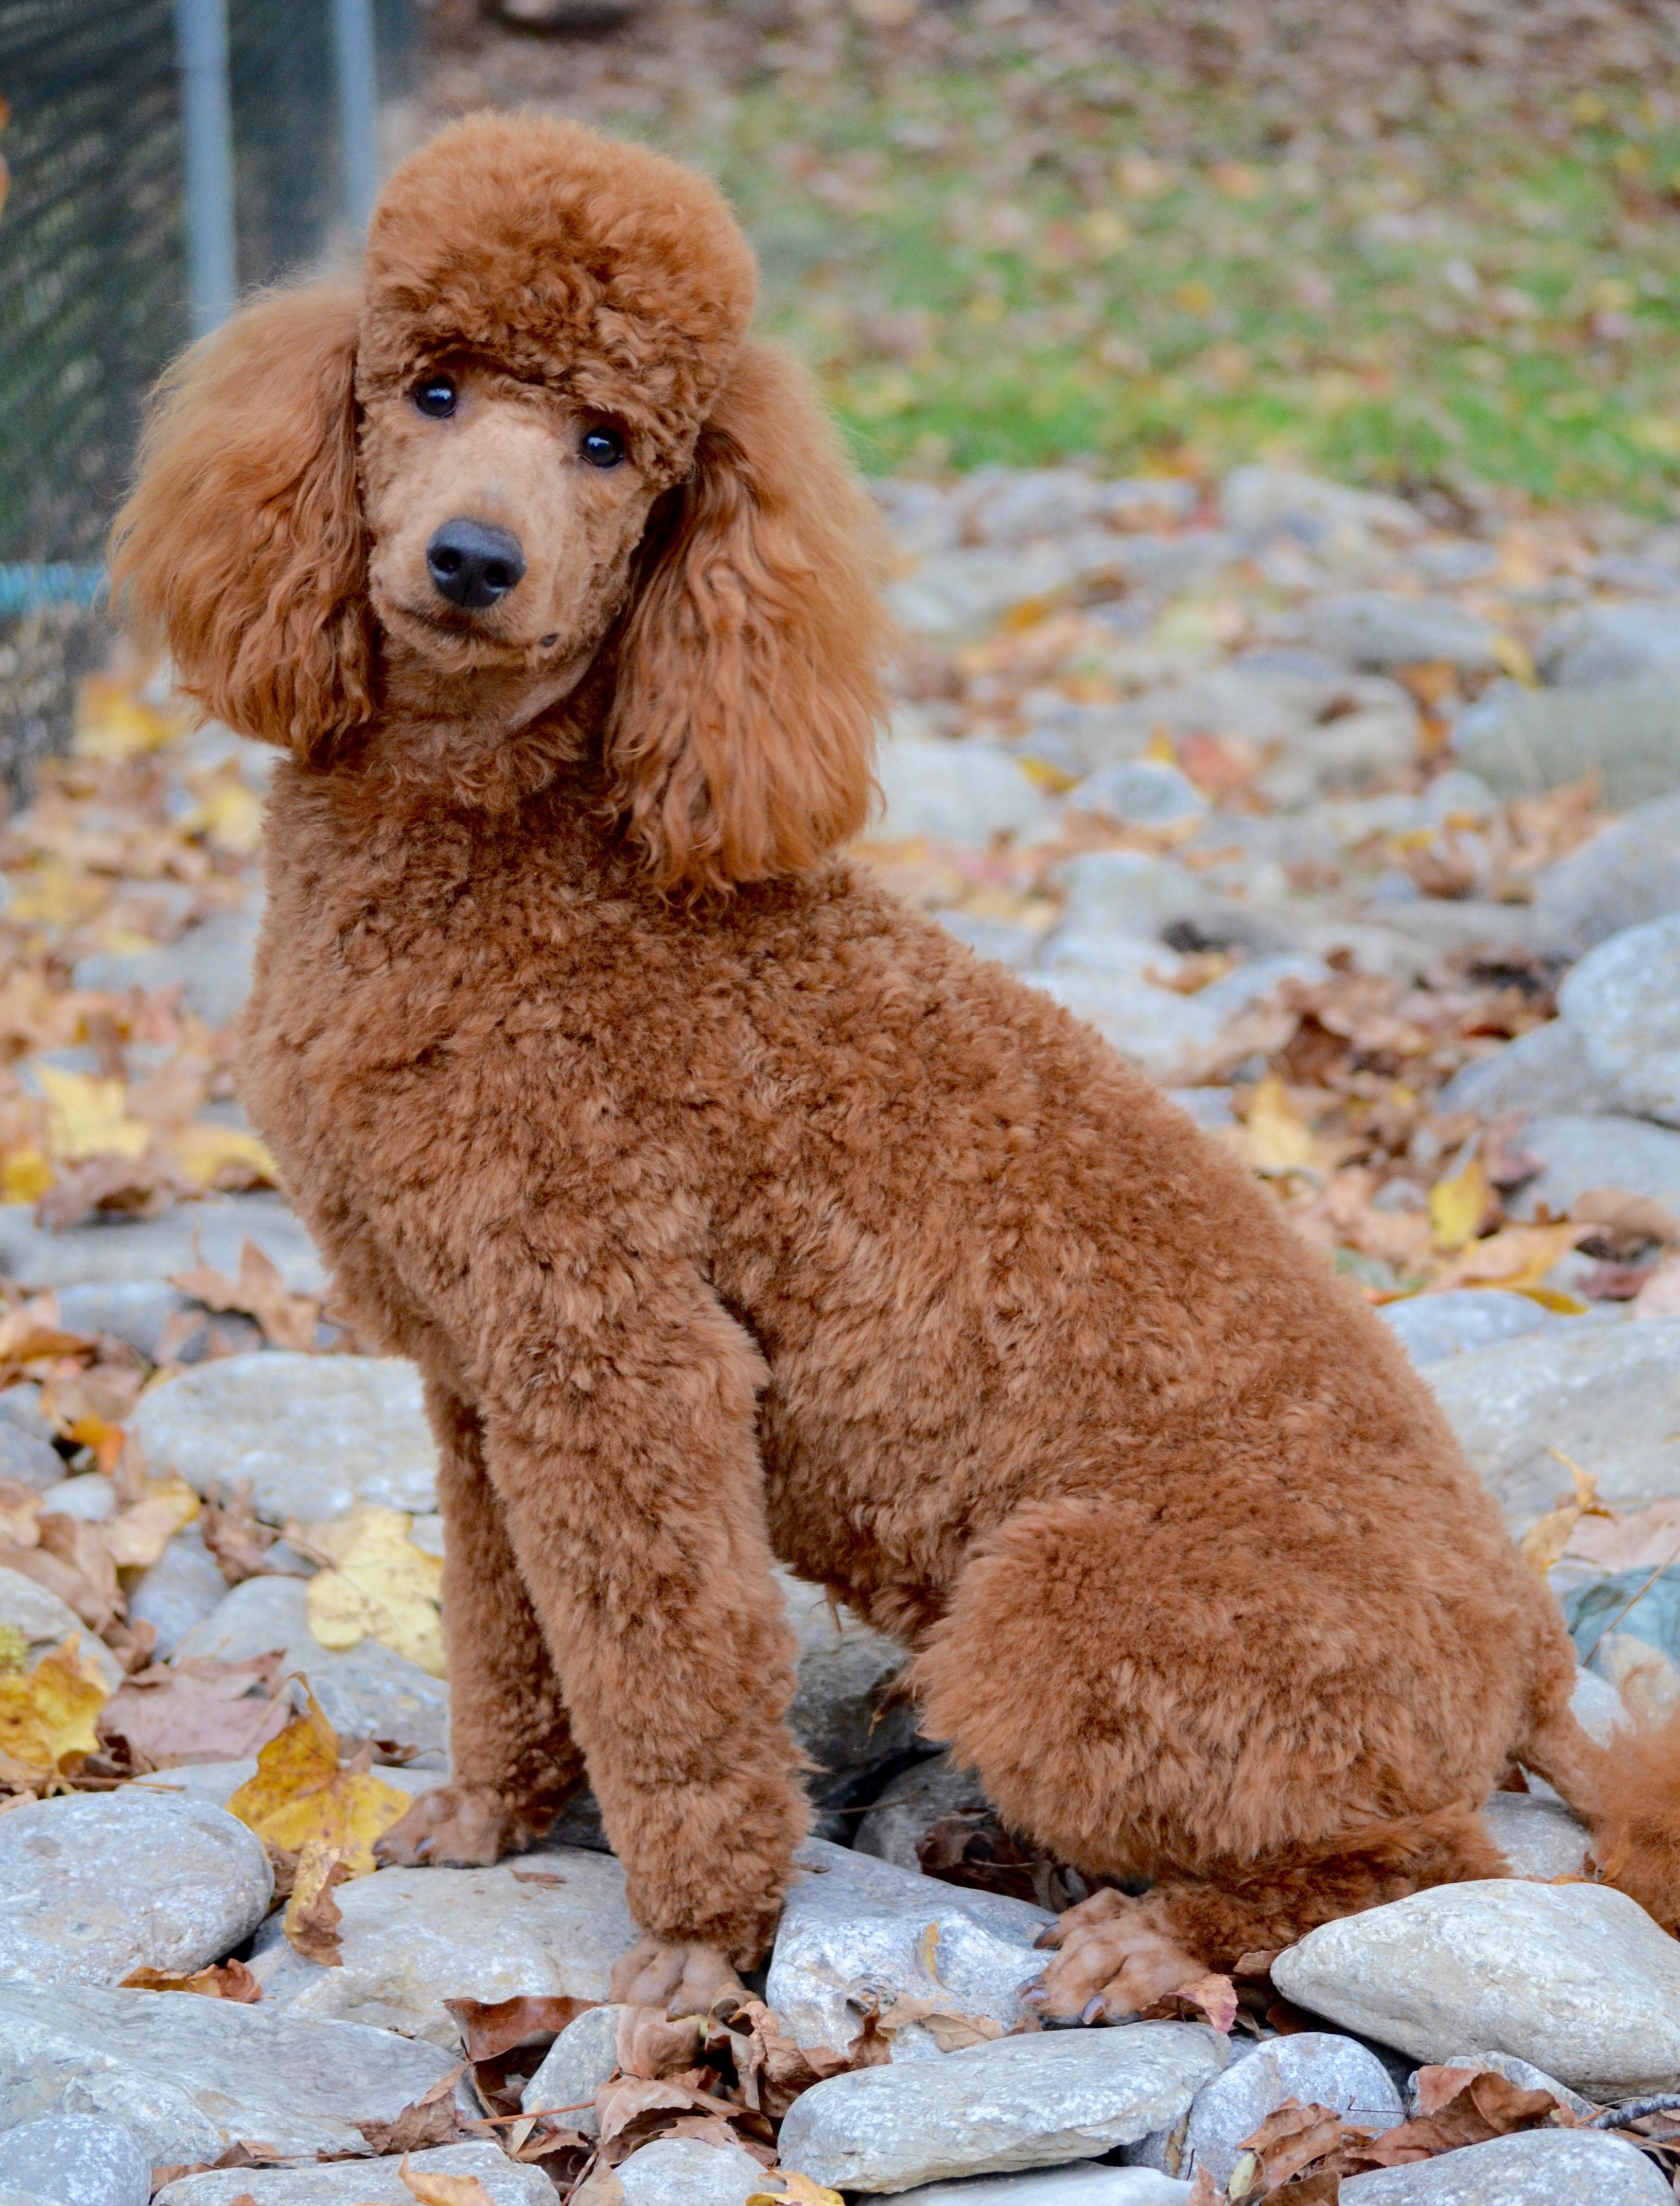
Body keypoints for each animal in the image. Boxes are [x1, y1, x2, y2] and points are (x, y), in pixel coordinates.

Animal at [111, 116, 1667, 2021]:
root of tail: (1530, 1652)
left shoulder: (625, 1363)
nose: (475, 557)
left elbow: (673, 1678)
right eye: (429, 388)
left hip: (1058, 1610)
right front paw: (488, 1815)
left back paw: (1138, 1936)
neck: (512, 843)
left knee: (1417, 1866)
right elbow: (505, 1628)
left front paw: (697, 1943)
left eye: (610, 443)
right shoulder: (480, 1380)